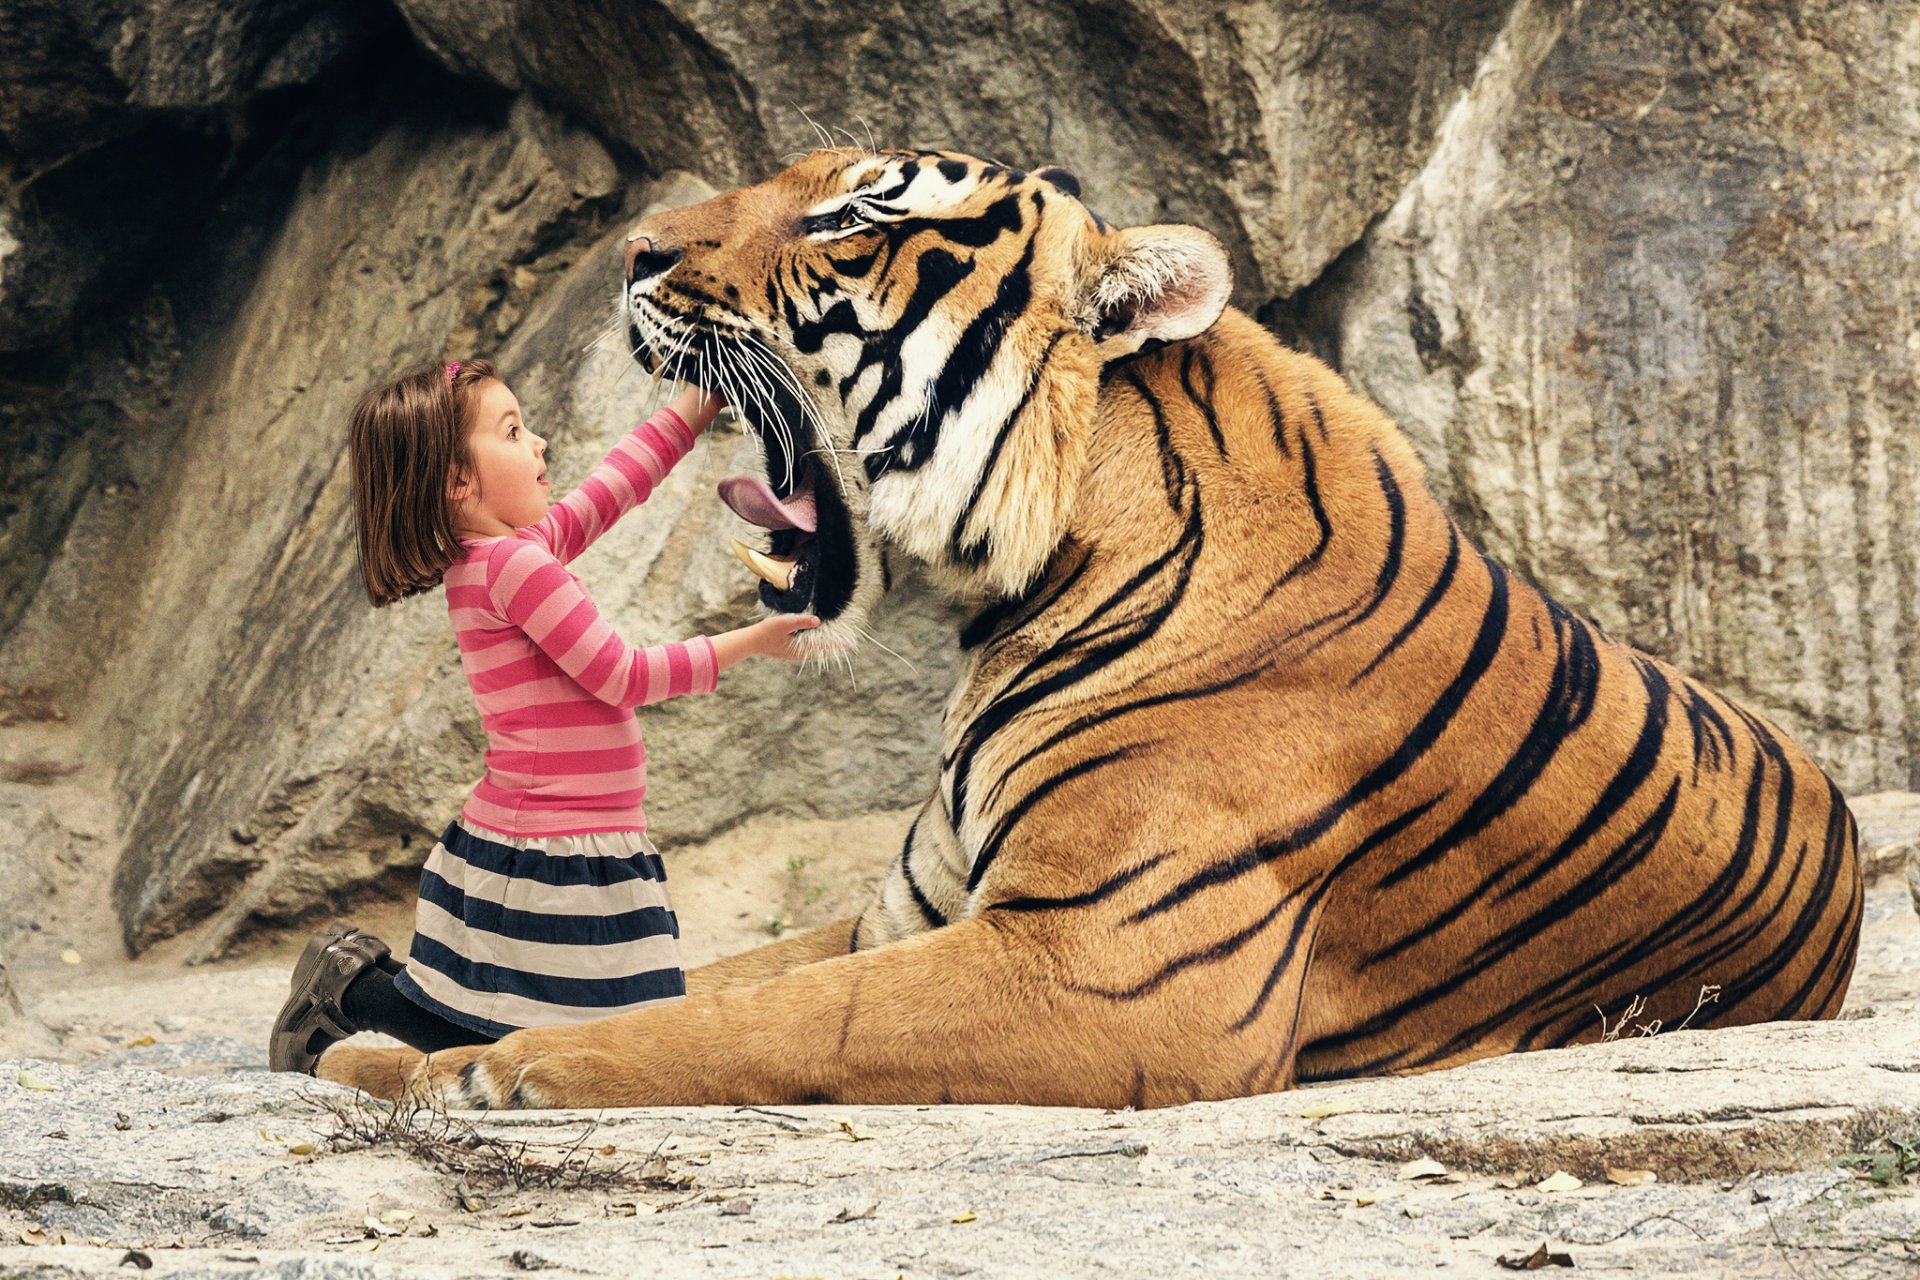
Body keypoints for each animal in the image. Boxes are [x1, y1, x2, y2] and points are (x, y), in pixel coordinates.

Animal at [320, 147, 1863, 1110]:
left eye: (849, 220)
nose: (635, 254)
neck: (1017, 591)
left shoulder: (1107, 965)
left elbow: (743, 1016)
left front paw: (456, 1067)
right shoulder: (909, 910)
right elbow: (698, 979)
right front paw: (380, 1045)